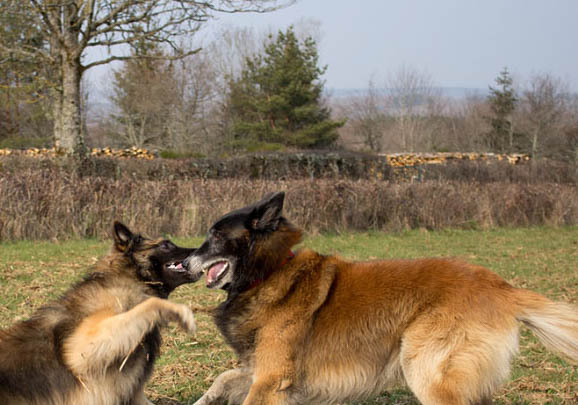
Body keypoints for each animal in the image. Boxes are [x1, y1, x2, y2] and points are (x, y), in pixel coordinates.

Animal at [0, 223, 198, 404]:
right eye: (165, 245)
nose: (201, 250)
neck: (128, 277)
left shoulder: (133, 394)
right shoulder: (81, 349)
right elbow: (151, 303)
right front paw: (182, 312)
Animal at [184, 192, 576, 404]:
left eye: (216, 236)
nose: (184, 262)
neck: (269, 272)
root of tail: (500, 286)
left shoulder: (271, 378)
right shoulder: (263, 371)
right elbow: (222, 378)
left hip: (425, 367)